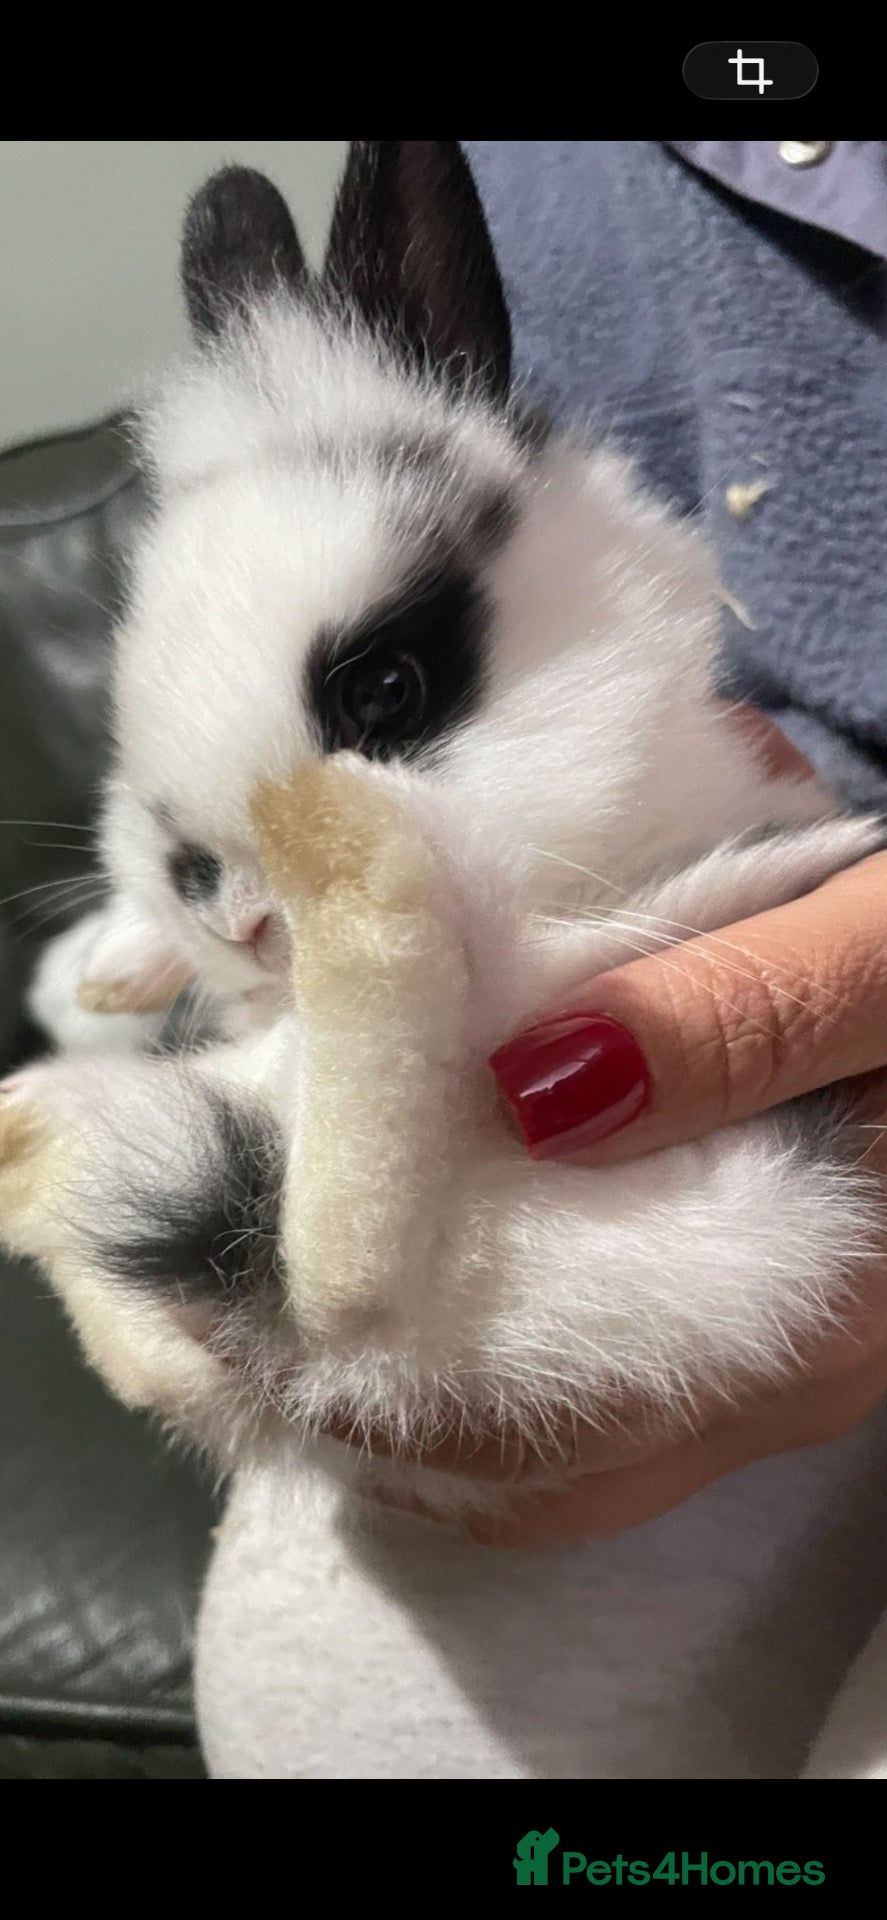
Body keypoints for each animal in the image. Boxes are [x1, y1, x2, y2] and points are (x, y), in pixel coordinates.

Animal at [2, 141, 886, 1779]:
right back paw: (61, 1172)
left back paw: (362, 874)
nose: (230, 898)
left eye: (387, 687)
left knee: (360, 1267)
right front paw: (113, 975)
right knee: (315, 1276)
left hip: (694, 1243)